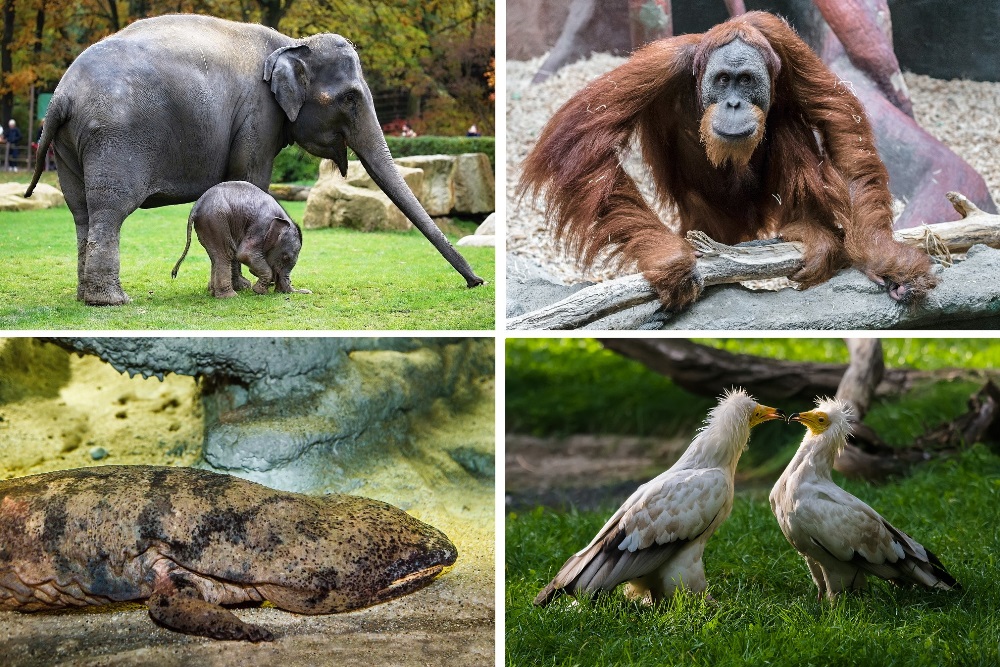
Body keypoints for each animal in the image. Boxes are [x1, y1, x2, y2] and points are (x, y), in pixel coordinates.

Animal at [174, 181, 310, 298]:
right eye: (285, 258)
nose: (308, 292)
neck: (282, 218)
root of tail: (196, 206)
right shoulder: (261, 226)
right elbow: (245, 254)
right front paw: (259, 291)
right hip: (215, 220)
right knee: (226, 254)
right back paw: (230, 296)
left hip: (207, 224)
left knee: (216, 256)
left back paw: (215, 293)